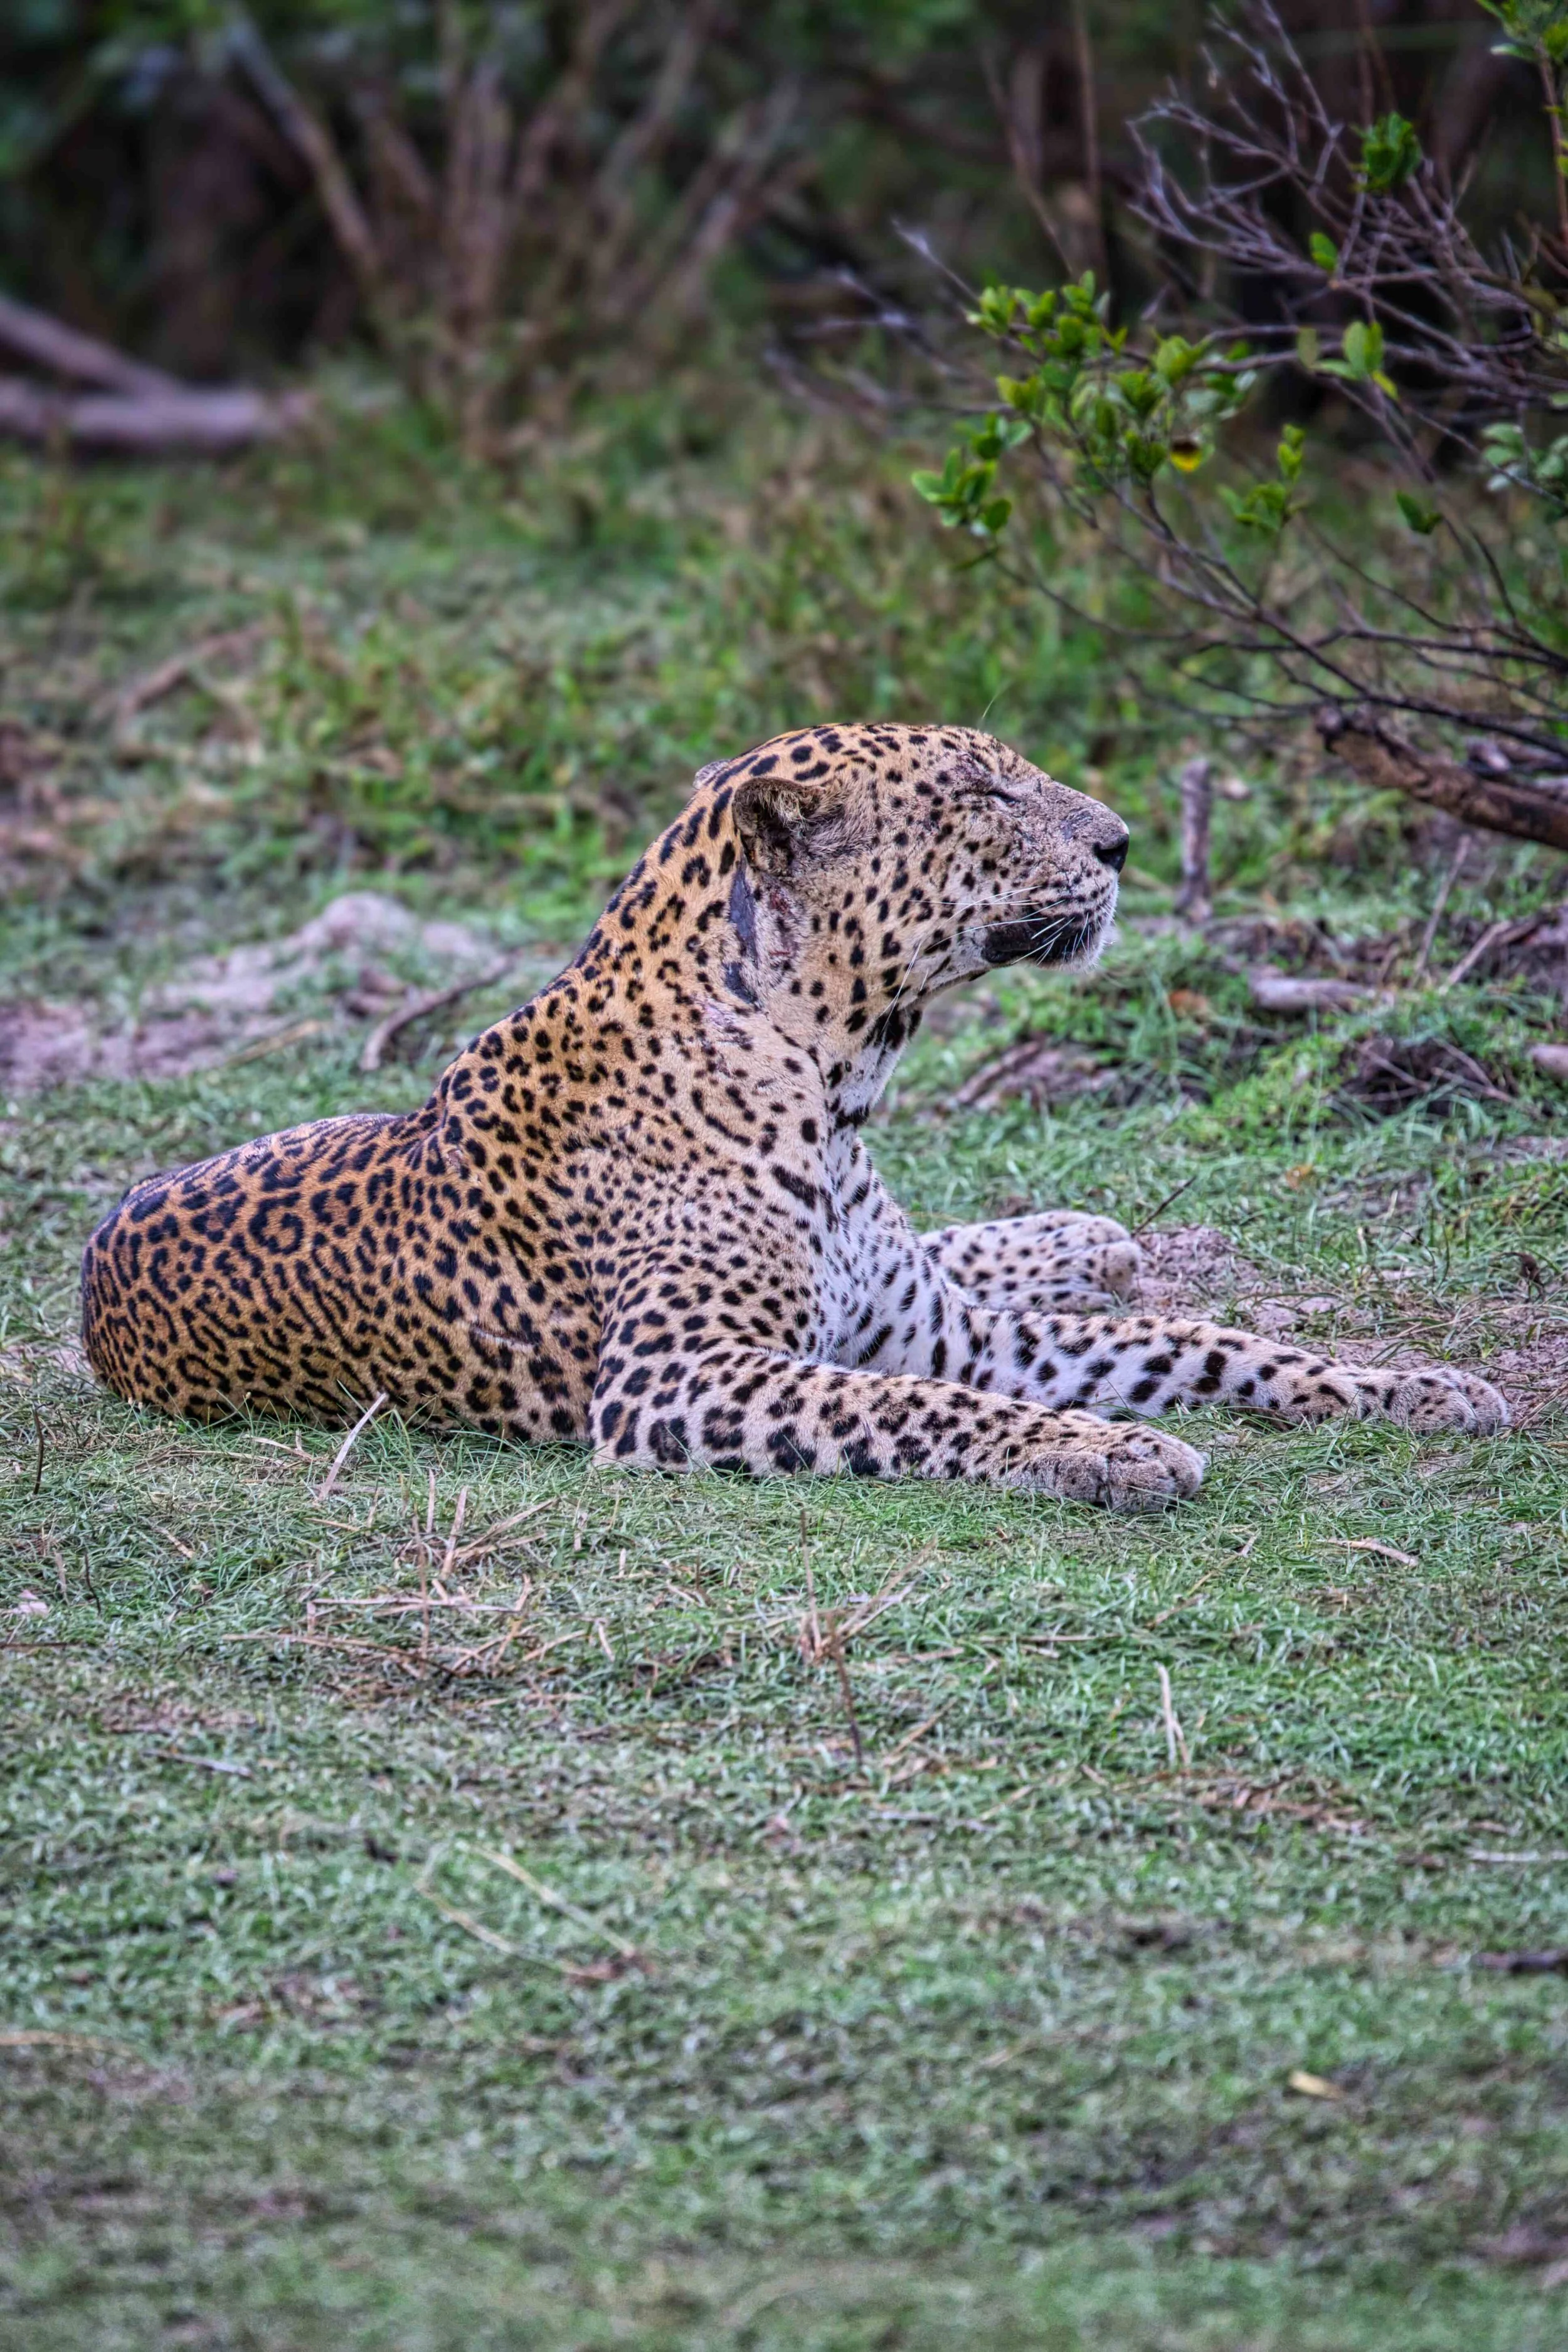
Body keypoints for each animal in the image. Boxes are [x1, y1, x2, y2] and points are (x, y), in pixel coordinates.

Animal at [81, 721, 1507, 1511]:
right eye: (982, 796)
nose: (1120, 843)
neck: (834, 1092)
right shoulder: (675, 1378)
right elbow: (924, 1413)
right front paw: (1111, 1453)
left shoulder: (944, 1331)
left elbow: (1199, 1342)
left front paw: (1416, 1386)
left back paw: (1080, 1235)